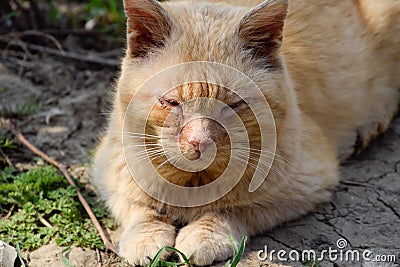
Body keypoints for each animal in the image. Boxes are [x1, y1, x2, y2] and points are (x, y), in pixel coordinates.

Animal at [90, 0, 400, 266]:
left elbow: (232, 208)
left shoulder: (306, 184)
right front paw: (145, 238)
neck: (193, 183)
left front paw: (205, 236)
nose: (200, 141)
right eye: (171, 103)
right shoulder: (108, 170)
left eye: (233, 104)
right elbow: (139, 207)